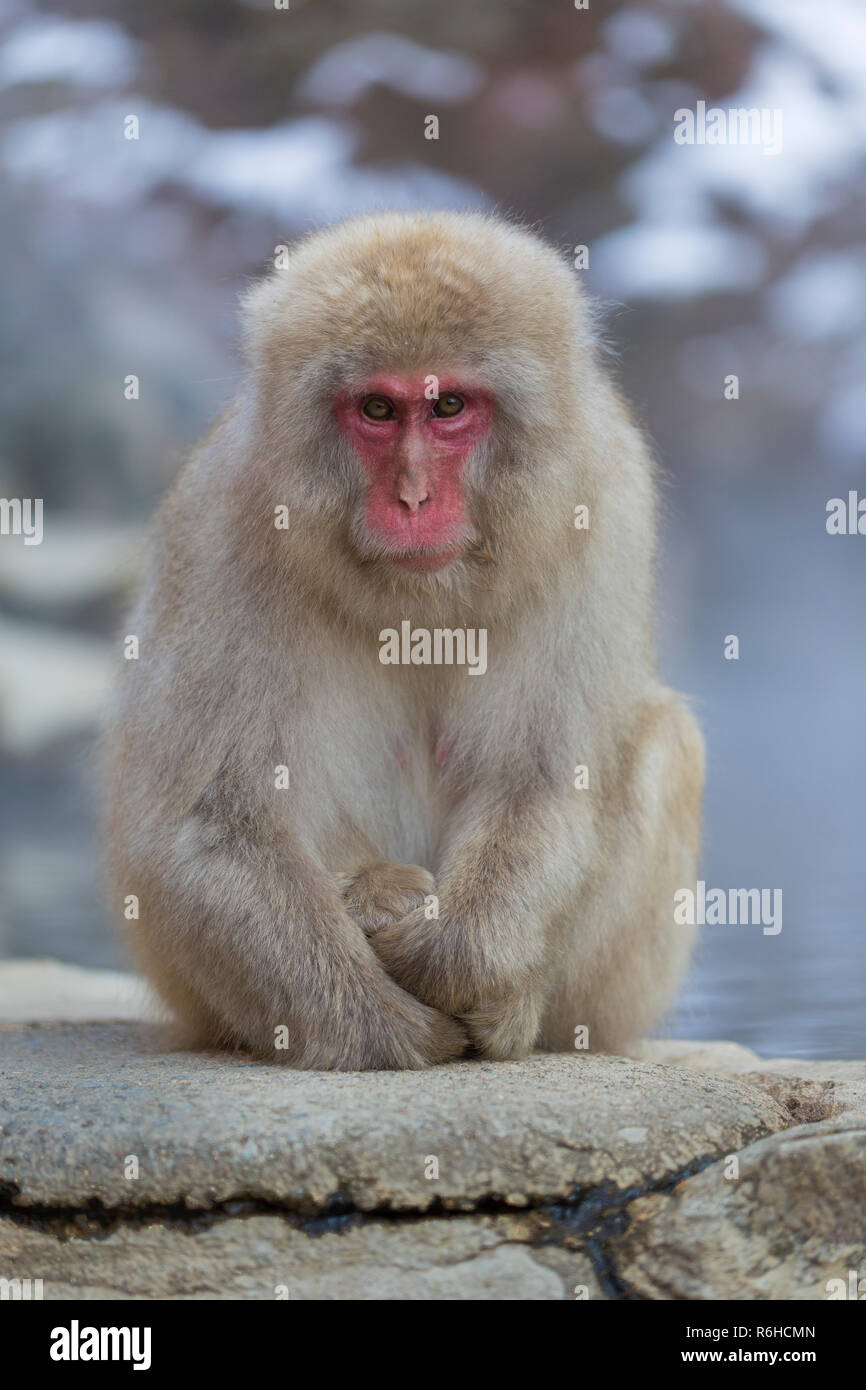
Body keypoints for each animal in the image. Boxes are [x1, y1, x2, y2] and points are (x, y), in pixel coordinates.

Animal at [108, 211, 706, 1067]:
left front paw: (449, 959)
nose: (414, 498)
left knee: (662, 742)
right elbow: (214, 819)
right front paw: (381, 1023)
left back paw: (510, 1008)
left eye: (448, 404)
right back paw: (377, 897)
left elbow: (550, 779)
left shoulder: (604, 499)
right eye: (379, 411)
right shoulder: (224, 512)